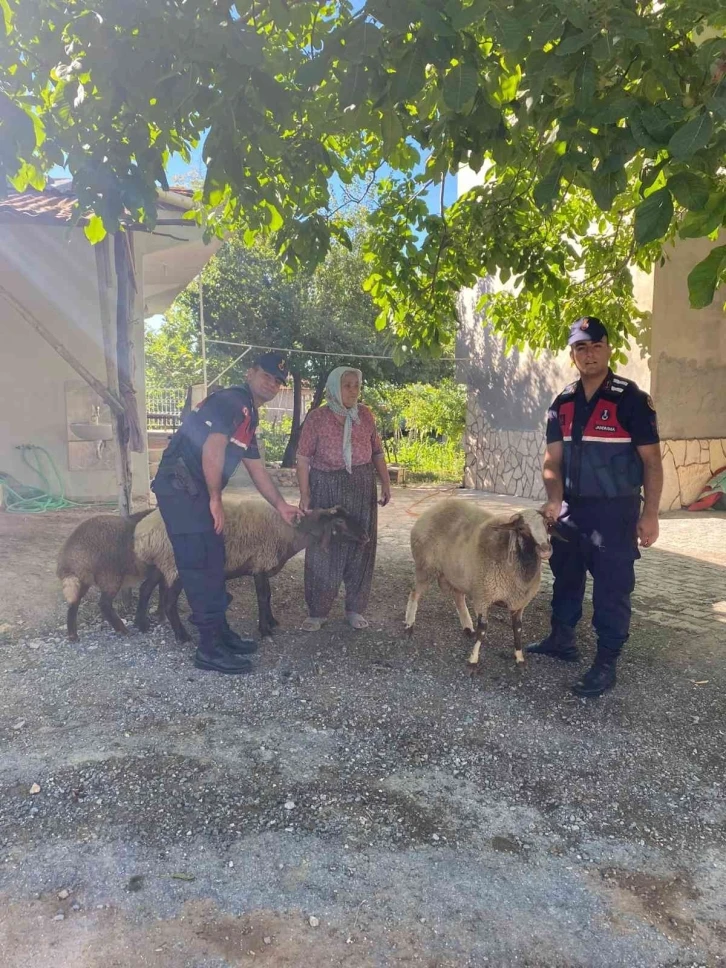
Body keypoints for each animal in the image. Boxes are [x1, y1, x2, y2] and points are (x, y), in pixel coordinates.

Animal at [57, 510, 166, 640]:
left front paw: (159, 615)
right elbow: (148, 589)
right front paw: (145, 623)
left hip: (82, 581)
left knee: (73, 604)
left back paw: (73, 636)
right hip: (110, 577)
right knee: (104, 604)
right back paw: (123, 630)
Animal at [134, 500, 370, 644]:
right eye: (340, 521)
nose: (366, 536)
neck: (289, 531)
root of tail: (142, 532)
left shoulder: (263, 565)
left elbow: (269, 595)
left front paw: (272, 621)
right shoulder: (261, 564)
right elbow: (263, 597)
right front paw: (265, 630)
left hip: (160, 564)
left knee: (144, 589)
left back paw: (141, 623)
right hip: (176, 567)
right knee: (168, 602)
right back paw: (181, 635)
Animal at [406, 500, 556, 672]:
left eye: (547, 524)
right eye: (521, 529)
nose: (545, 550)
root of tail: (435, 507)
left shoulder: (519, 603)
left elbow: (518, 630)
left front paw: (519, 658)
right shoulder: (483, 596)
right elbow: (483, 631)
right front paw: (473, 660)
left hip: (458, 575)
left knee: (458, 597)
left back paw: (467, 627)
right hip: (426, 566)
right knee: (414, 593)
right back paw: (409, 624)